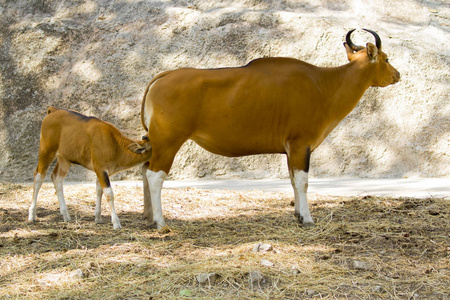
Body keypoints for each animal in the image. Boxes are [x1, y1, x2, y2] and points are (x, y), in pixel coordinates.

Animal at [139, 29, 400, 229]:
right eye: (386, 59)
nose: (397, 74)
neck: (324, 84)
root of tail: (162, 77)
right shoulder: (300, 144)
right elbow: (303, 181)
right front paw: (307, 218)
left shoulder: (290, 148)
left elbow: (293, 180)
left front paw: (298, 214)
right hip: (168, 142)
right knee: (154, 175)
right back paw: (160, 221)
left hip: (155, 143)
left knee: (144, 170)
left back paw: (148, 217)